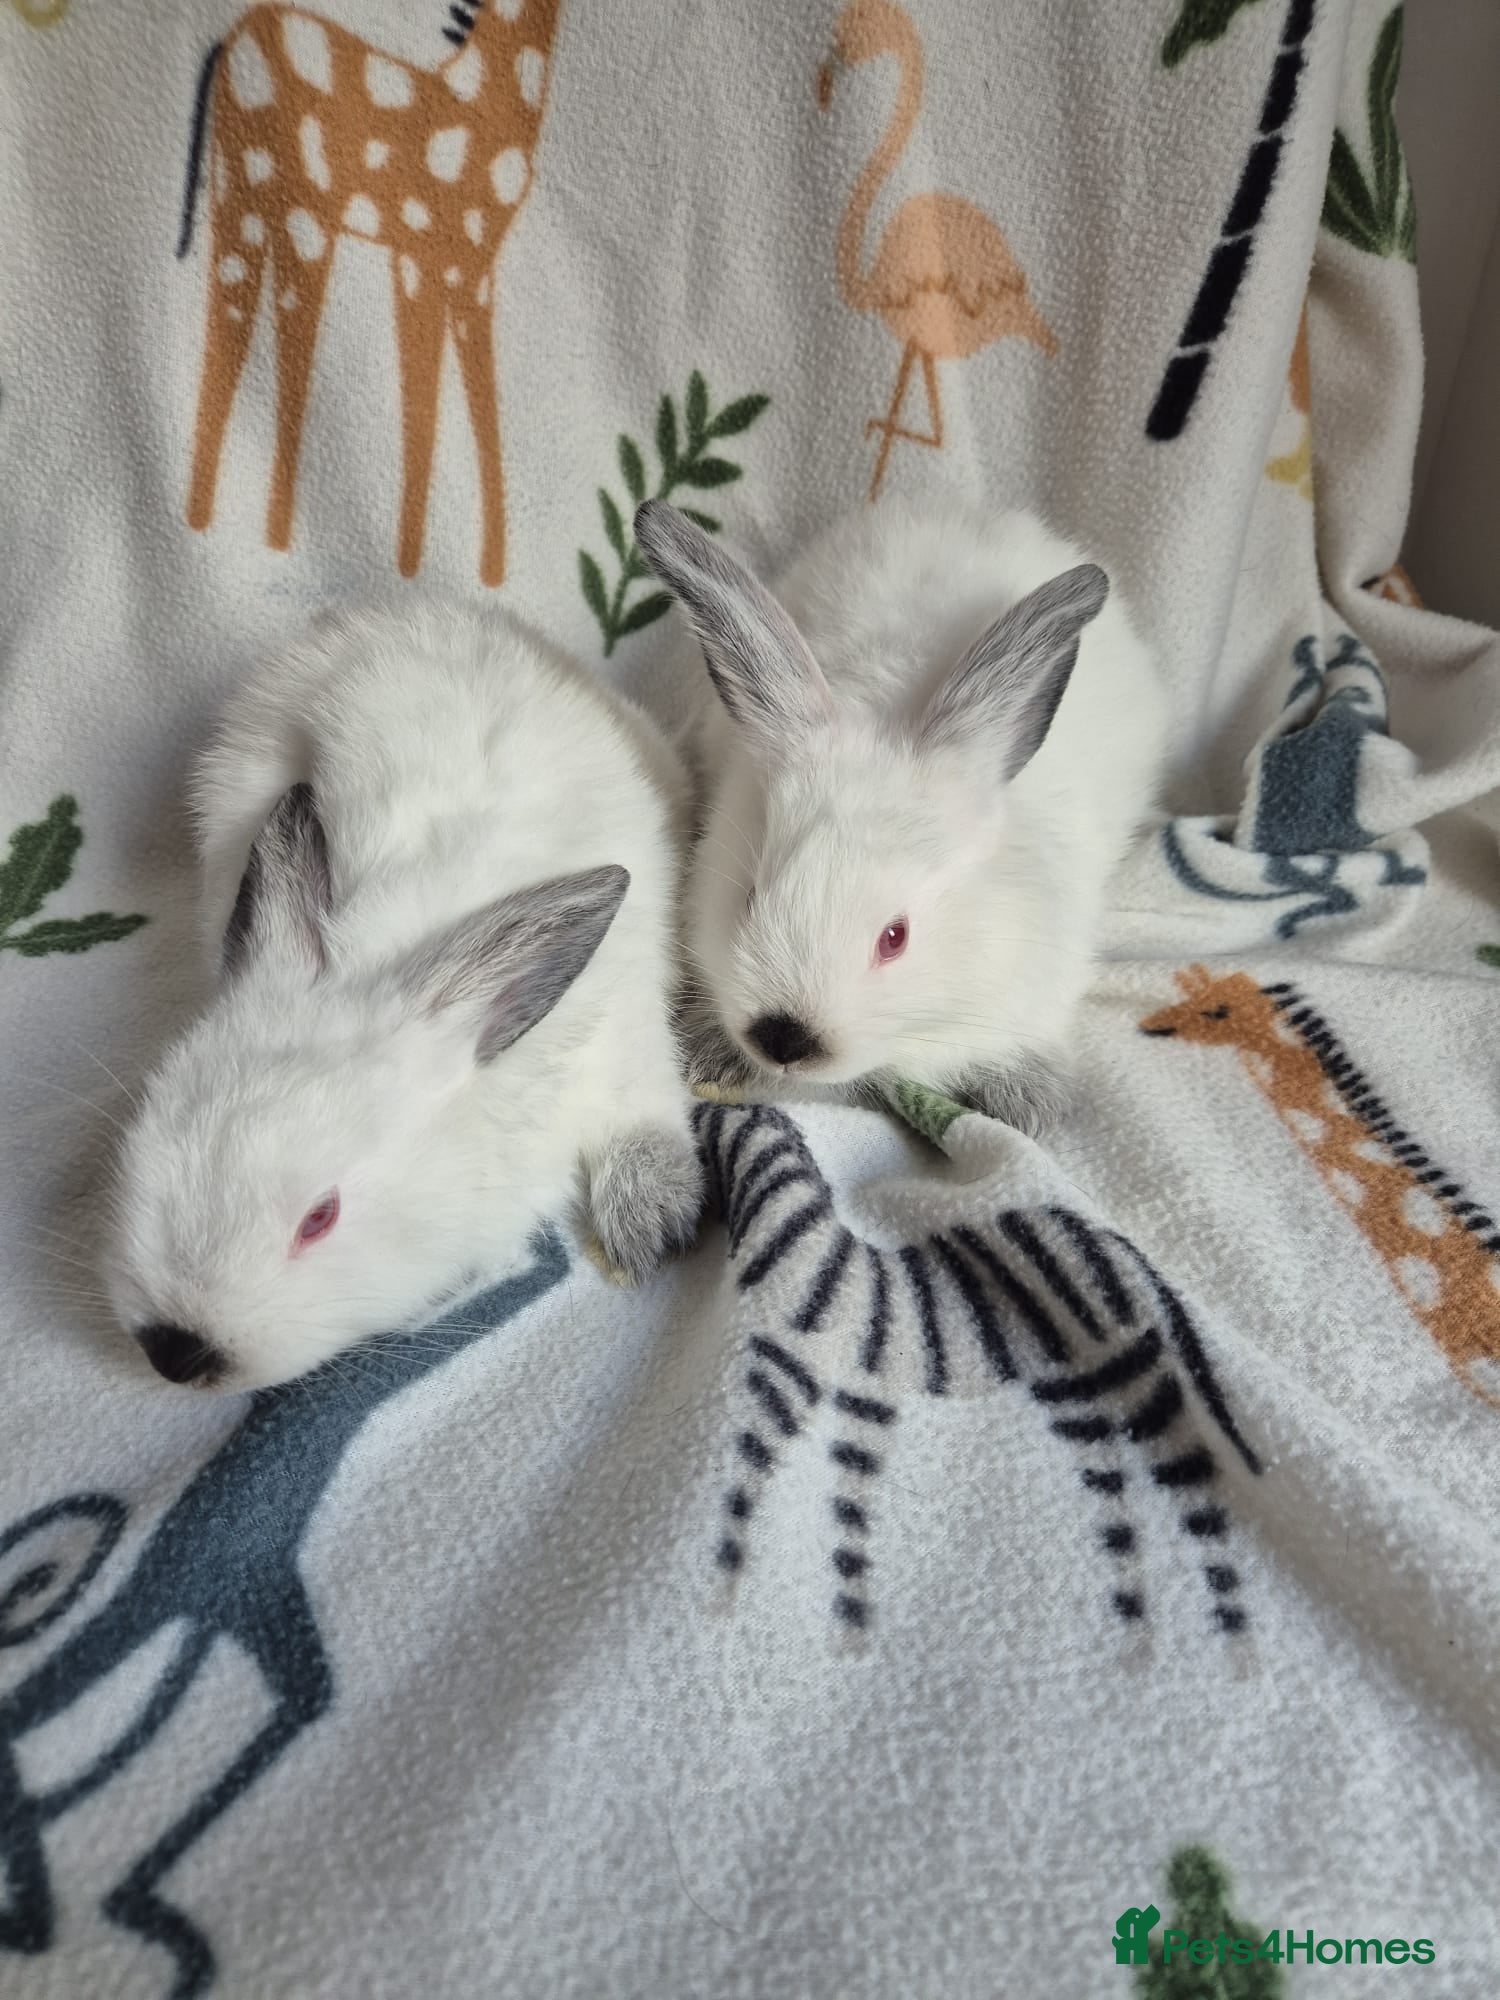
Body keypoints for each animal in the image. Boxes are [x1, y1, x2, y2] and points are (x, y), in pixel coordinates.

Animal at [108, 601, 703, 1392]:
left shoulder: (625, 1050)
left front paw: (652, 1226)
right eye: (144, 1135)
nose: (175, 1351)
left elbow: (644, 1121)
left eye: (320, 1217)